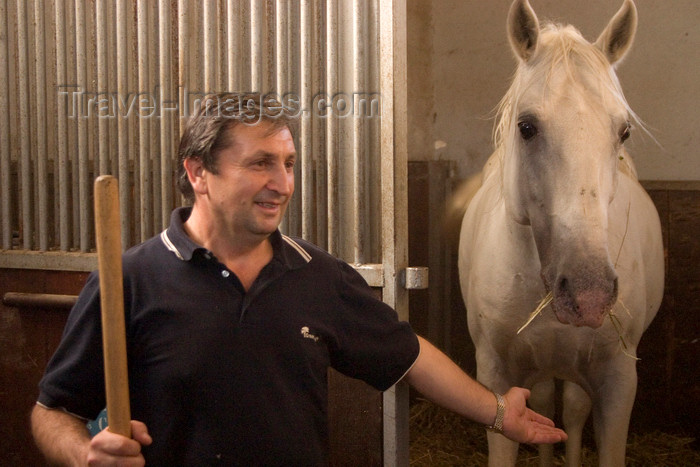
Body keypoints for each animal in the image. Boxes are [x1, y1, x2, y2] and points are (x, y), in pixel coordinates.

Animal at [456, 0, 664, 467]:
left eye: (623, 131)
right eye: (526, 126)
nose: (589, 295)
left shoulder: (619, 381)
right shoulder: (497, 376)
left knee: (569, 411)